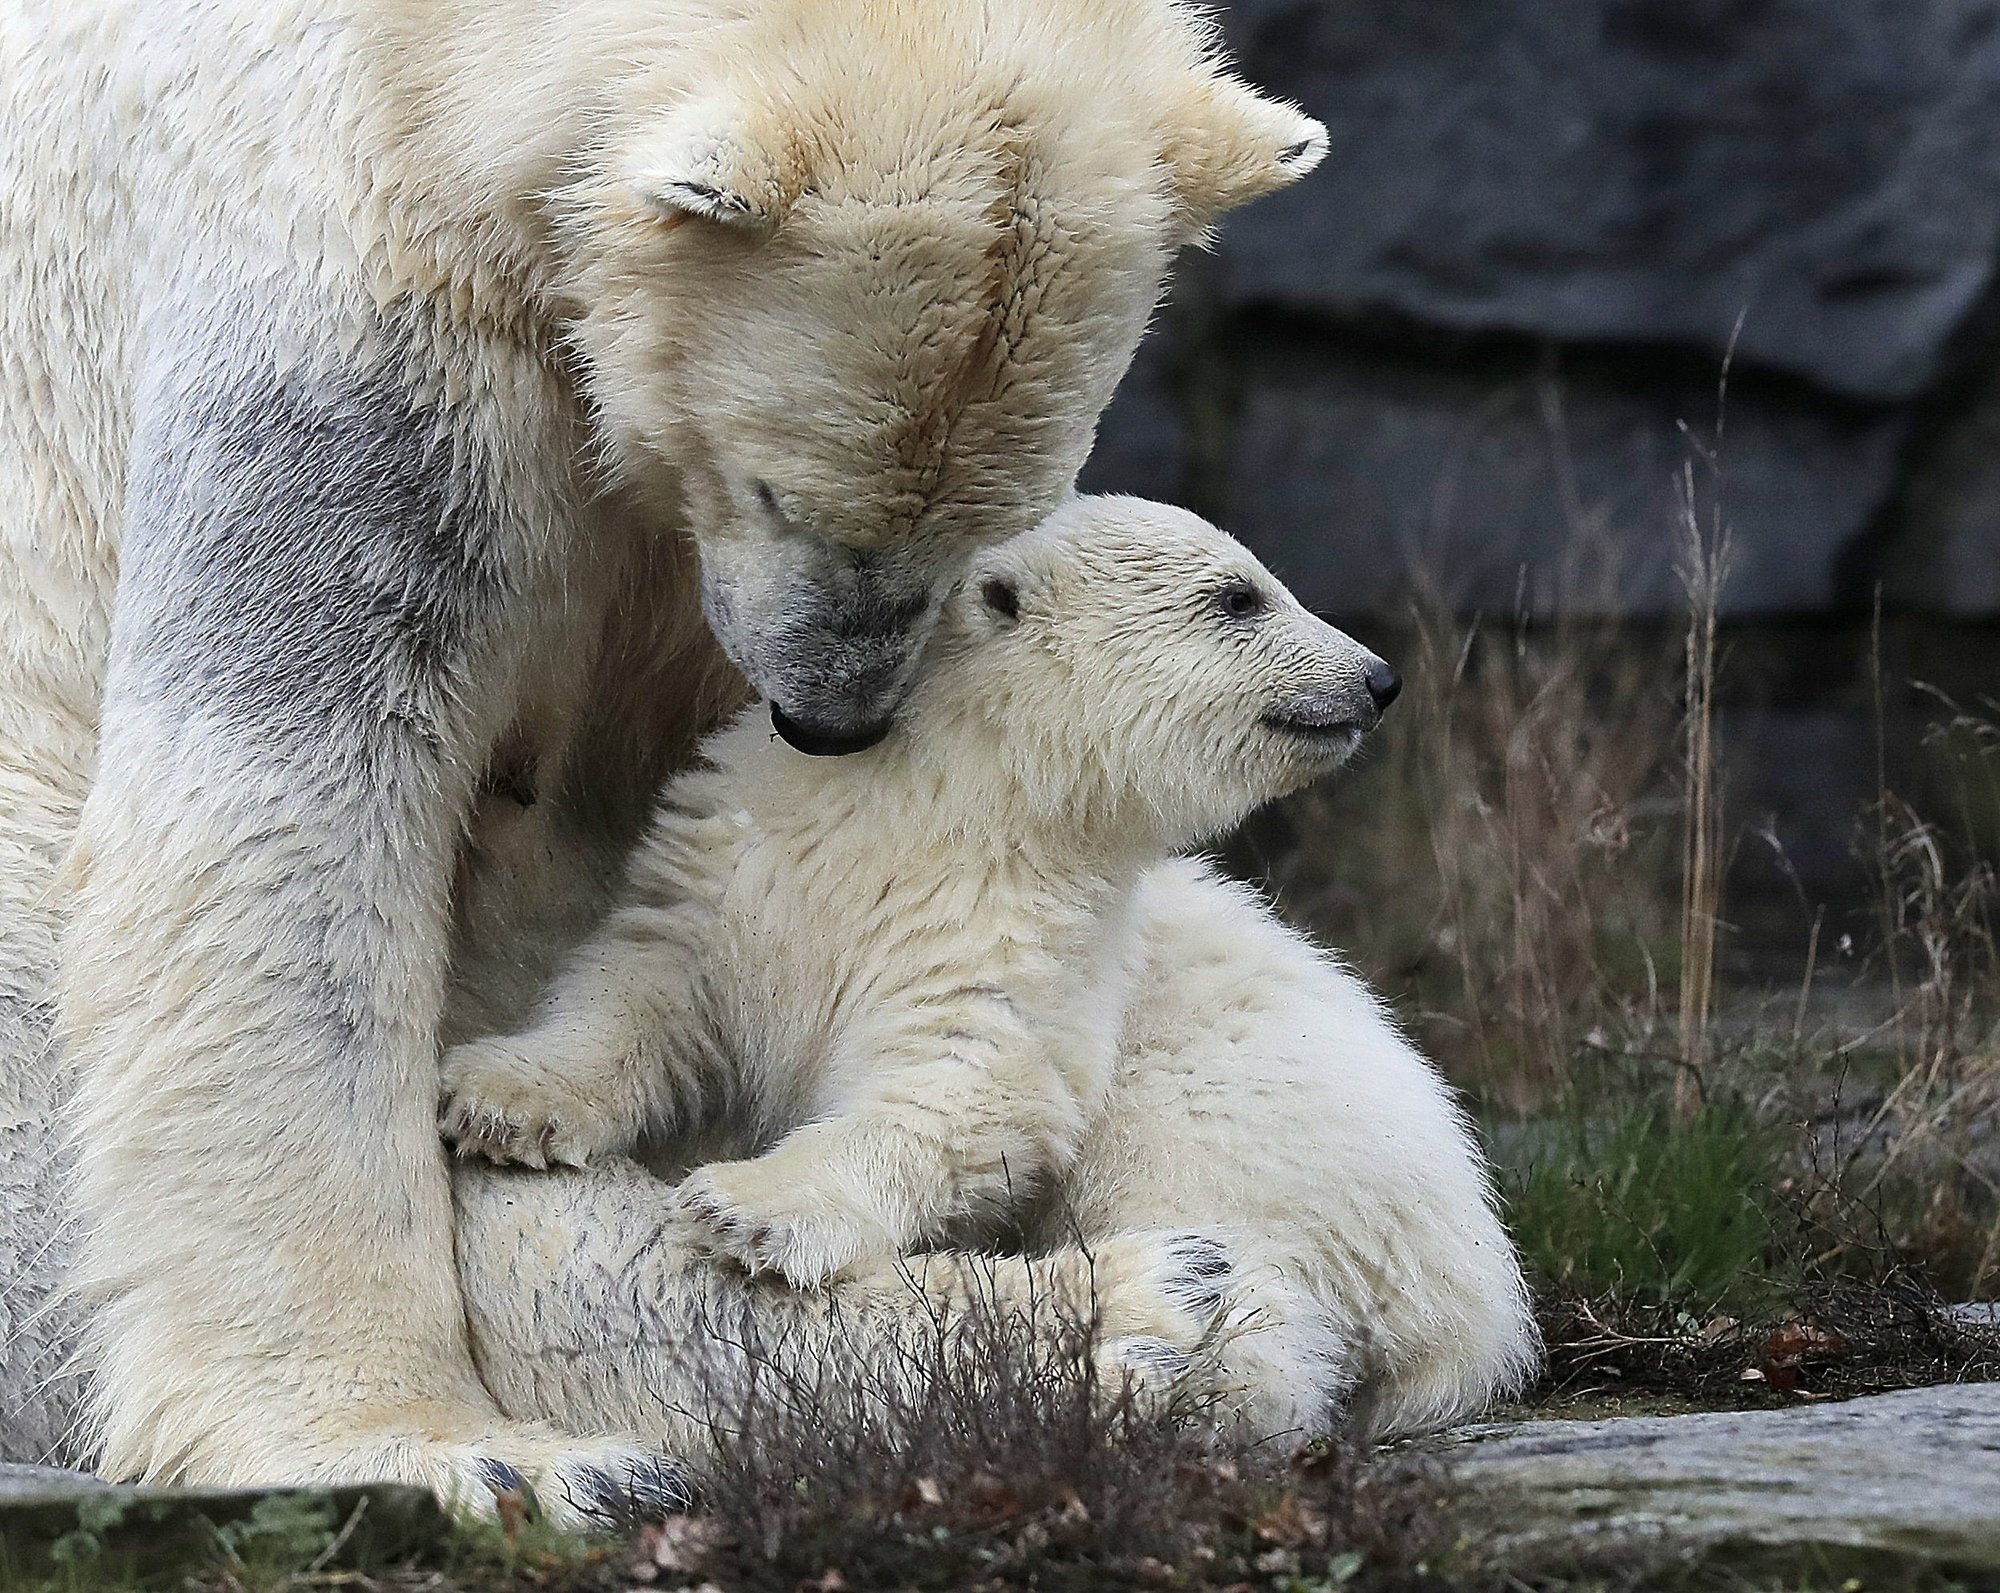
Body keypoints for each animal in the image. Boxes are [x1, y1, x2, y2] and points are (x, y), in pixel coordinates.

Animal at [0, 0, 1528, 1504]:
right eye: (780, 488)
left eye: (991, 515)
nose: (834, 716)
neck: (434, 70)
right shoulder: (357, 311)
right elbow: (296, 805)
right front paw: (438, 1441)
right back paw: (1158, 1316)